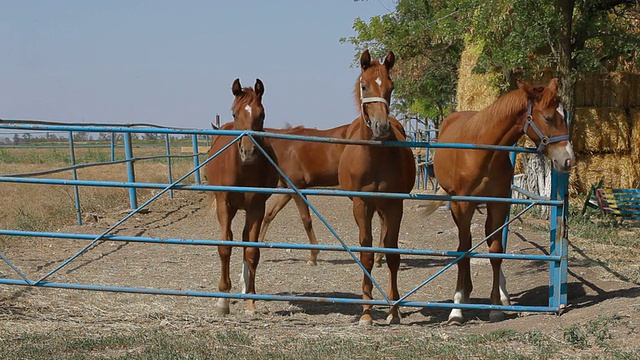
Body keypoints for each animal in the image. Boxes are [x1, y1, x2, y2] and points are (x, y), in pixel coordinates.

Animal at [204, 79, 276, 316]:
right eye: (235, 114)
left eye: (262, 114)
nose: (248, 152)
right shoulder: (224, 205)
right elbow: (225, 246)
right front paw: (223, 301)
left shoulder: (257, 207)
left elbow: (252, 250)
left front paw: (251, 301)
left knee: (246, 239)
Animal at [258, 124, 350, 264]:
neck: (284, 148)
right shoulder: (290, 189)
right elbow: (270, 213)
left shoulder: (298, 187)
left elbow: (306, 219)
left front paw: (313, 256)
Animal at [338, 49, 418, 324]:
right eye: (365, 85)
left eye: (391, 87)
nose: (382, 127)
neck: (374, 159)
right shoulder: (361, 206)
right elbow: (366, 254)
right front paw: (366, 312)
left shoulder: (394, 204)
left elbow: (393, 253)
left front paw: (394, 310)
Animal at [430, 77, 576, 324]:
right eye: (548, 117)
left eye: (564, 114)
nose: (568, 160)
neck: (482, 151)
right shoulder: (462, 205)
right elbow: (463, 251)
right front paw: (456, 309)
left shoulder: (498, 202)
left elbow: (496, 250)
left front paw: (495, 306)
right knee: (467, 242)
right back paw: (466, 293)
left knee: (489, 238)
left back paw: (501, 293)